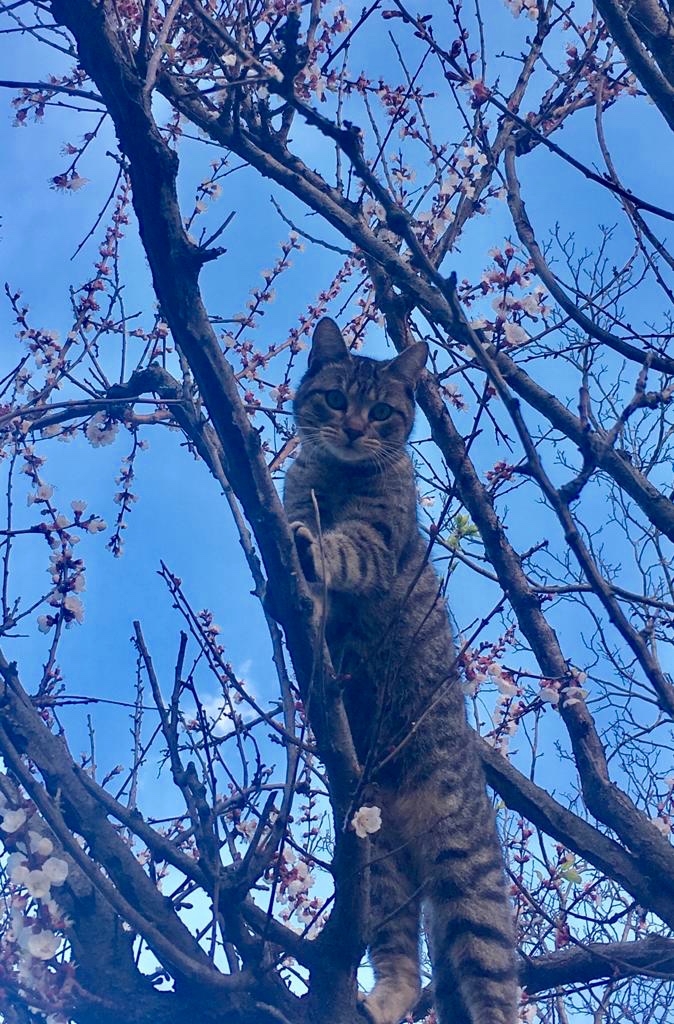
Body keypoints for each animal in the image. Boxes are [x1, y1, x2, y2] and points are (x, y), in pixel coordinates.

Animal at [282, 319, 514, 1024]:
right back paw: (383, 1000)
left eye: (381, 411)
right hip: (379, 872)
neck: (334, 477)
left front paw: (310, 542)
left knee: (498, 987)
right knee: (400, 958)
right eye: (336, 400)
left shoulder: (378, 542)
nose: (356, 429)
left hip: (468, 882)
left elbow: (345, 547)